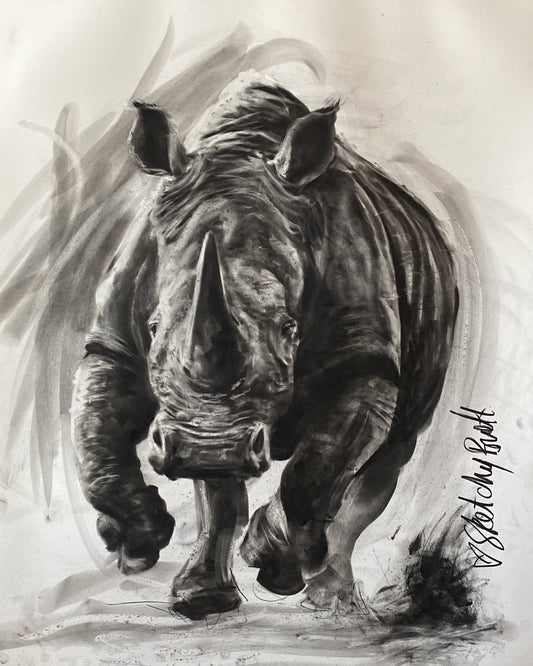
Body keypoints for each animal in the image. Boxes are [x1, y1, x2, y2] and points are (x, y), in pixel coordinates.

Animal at [71, 80, 458, 619]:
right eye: (153, 327)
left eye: (289, 329)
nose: (207, 448)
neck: (239, 152)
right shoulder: (119, 336)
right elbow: (96, 436)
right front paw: (138, 543)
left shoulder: (365, 356)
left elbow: (319, 467)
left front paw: (269, 561)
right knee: (222, 486)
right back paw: (202, 598)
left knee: (381, 464)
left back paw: (326, 597)